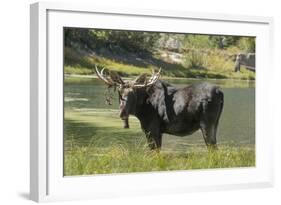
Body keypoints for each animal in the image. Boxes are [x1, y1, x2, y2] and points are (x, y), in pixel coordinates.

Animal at [95, 66, 224, 151]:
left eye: (134, 93)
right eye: (119, 91)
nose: (123, 112)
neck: (141, 110)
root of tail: (220, 92)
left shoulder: (152, 129)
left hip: (207, 123)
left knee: (212, 148)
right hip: (215, 123)